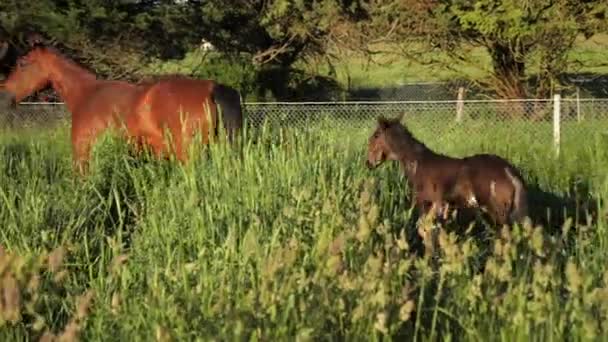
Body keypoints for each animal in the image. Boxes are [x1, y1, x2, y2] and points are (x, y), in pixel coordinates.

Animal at [366, 112, 528, 228]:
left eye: (376, 135)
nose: (368, 163)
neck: (417, 163)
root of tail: (508, 170)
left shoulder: (426, 204)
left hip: (497, 212)